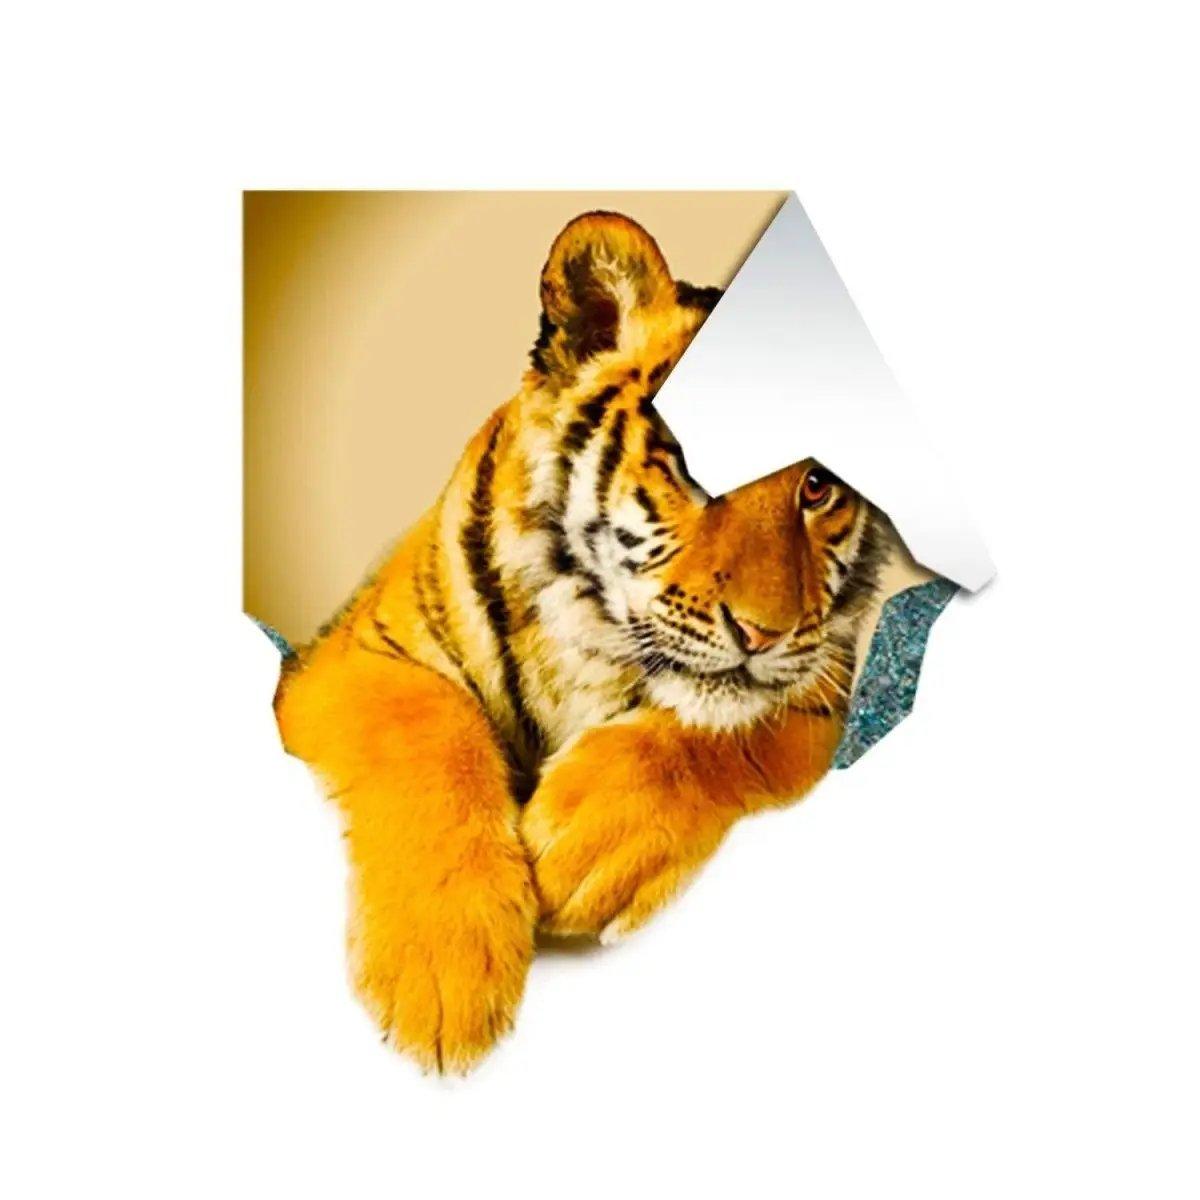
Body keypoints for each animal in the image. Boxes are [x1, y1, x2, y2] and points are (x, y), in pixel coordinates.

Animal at [274, 211, 884, 1073]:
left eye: (819, 488)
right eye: (692, 462)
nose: (764, 633)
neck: (596, 633)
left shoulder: (826, 680)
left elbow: (721, 734)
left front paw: (587, 845)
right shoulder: (355, 656)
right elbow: (429, 731)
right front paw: (444, 970)